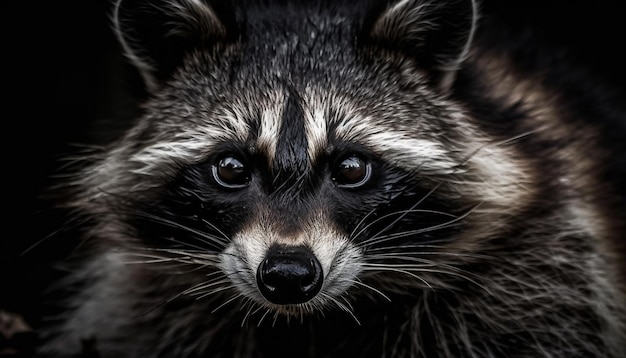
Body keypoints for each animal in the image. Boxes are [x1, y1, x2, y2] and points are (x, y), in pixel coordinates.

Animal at [39, 0, 624, 356]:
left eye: (351, 168)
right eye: (230, 168)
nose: (288, 275)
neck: (307, 319)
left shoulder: (543, 273)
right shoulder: (143, 303)